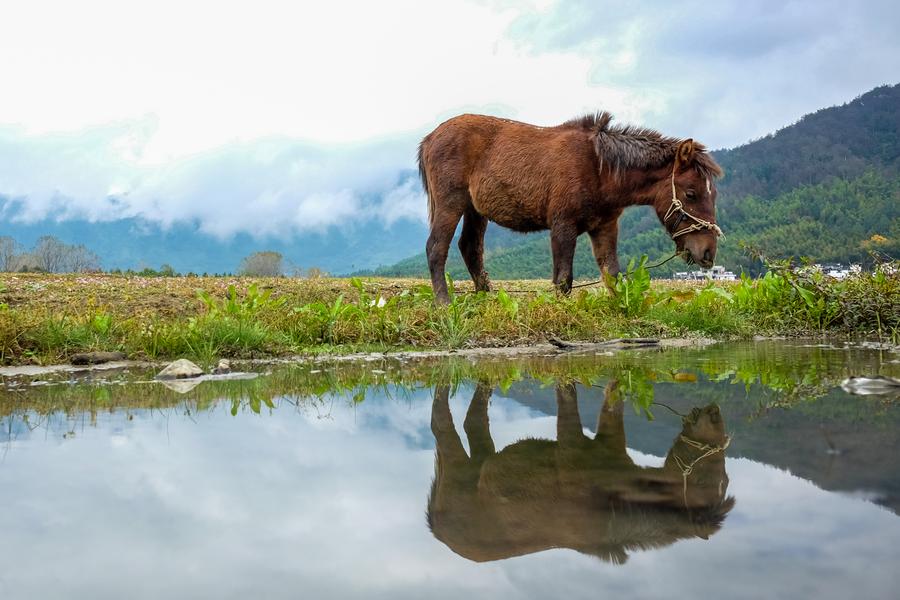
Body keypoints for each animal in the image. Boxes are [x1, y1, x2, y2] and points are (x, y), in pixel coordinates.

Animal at [422, 112, 724, 302]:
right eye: (691, 193)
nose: (708, 253)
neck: (601, 169)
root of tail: (429, 138)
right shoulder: (562, 225)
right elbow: (564, 280)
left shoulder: (604, 227)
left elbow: (612, 274)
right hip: (451, 203)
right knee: (436, 248)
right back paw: (444, 303)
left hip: (475, 210)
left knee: (470, 248)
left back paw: (486, 297)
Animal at [428, 380, 732, 564]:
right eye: (717, 481)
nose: (715, 409)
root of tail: (435, 527)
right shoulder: (570, 449)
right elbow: (569, 396)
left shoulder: (609, 442)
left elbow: (612, 400)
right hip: (456, 473)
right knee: (440, 424)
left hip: (477, 464)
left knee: (473, 422)